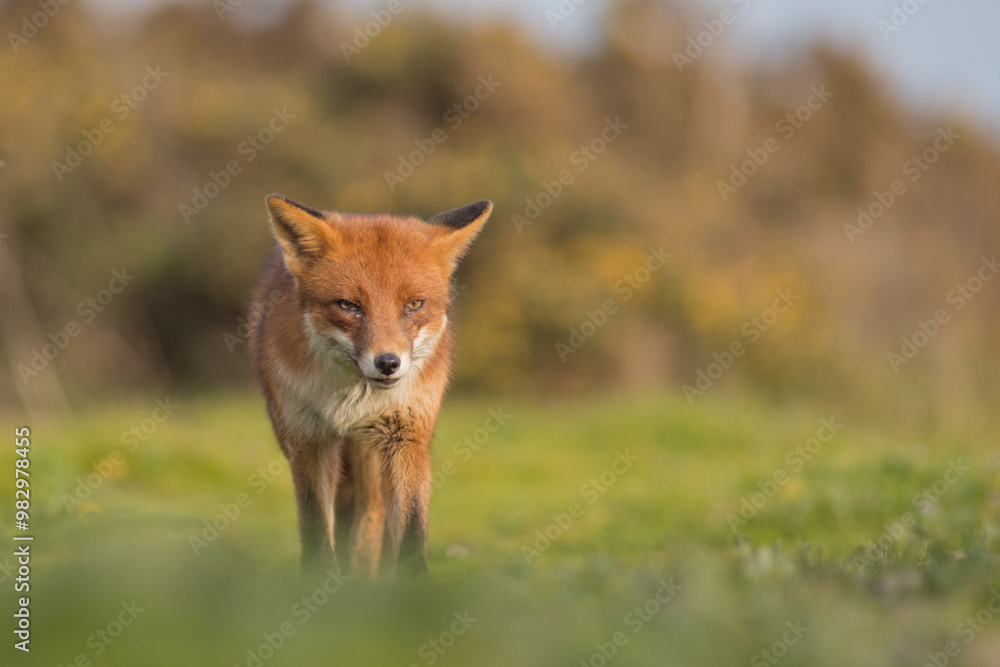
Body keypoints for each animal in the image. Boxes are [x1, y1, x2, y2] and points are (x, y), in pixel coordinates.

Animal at [248, 194, 492, 577]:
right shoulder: (308, 441)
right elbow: (316, 527)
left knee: (372, 517)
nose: (388, 363)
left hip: (371, 458)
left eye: (414, 305)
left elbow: (411, 528)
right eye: (349, 305)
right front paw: (319, 581)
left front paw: (413, 586)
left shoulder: (406, 437)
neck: (351, 401)